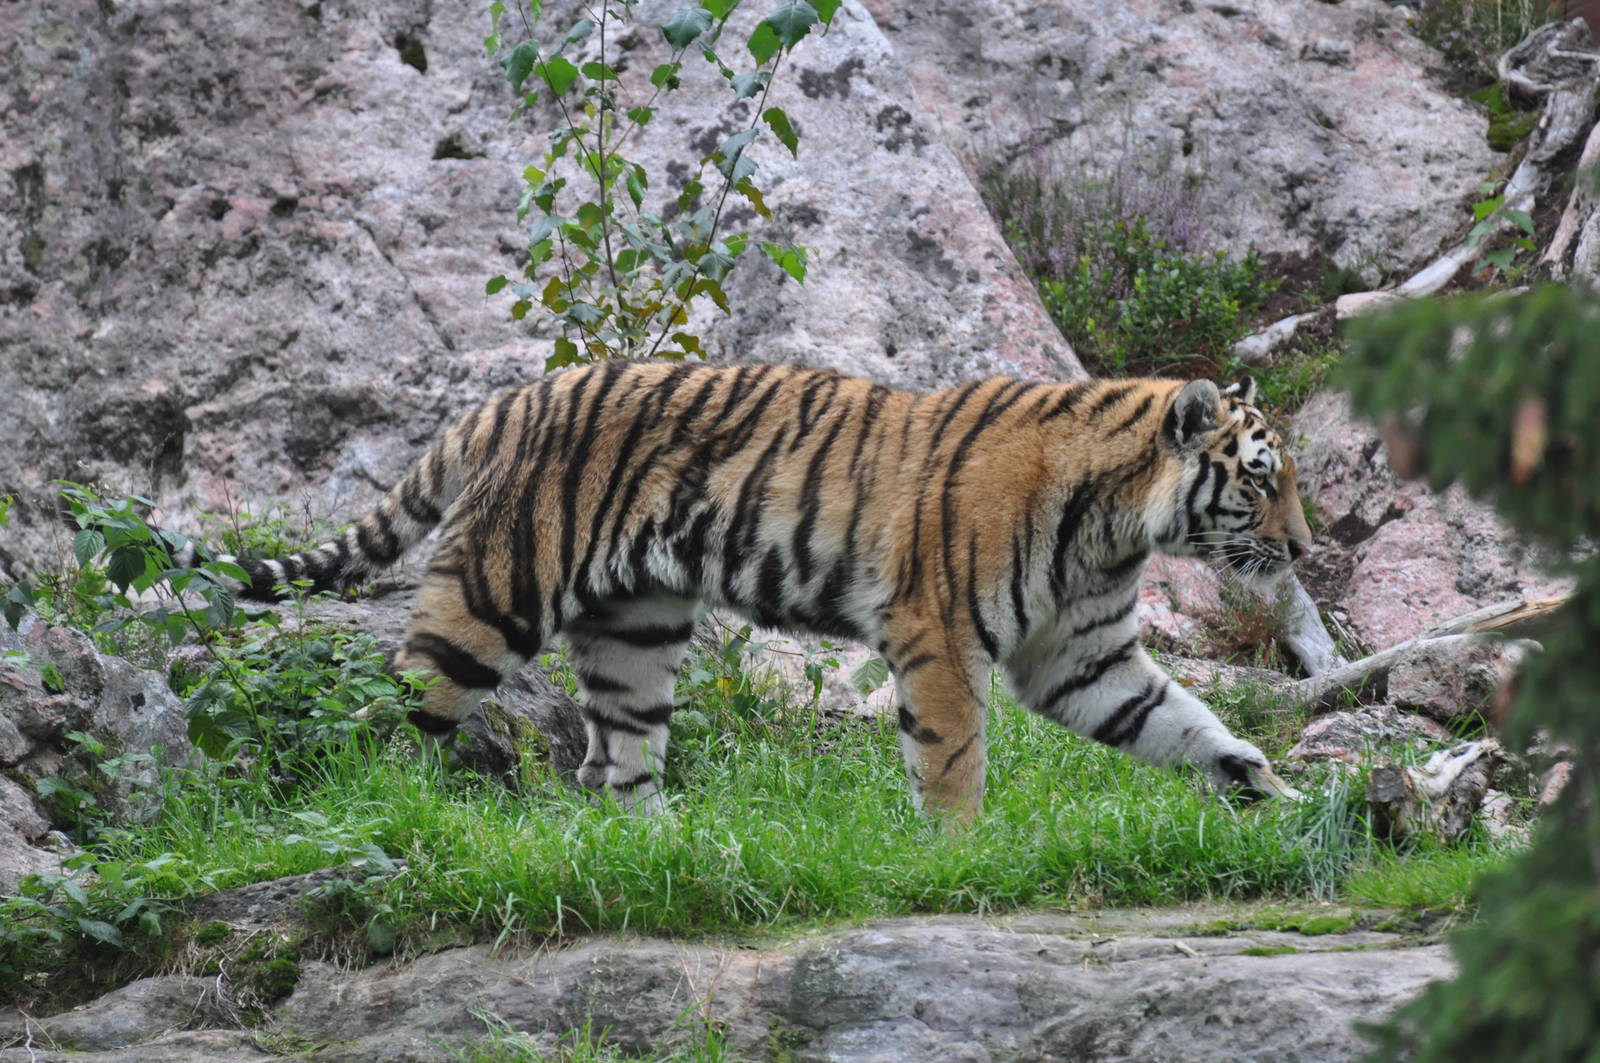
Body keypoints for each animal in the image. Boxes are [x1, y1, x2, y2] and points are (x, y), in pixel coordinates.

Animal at [178, 361, 1309, 821]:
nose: (1304, 547)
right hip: (493, 594)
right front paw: (961, 854)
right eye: (1261, 479)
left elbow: (1191, 725)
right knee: (395, 706)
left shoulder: (1083, 656)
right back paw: (389, 813)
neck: (1117, 526)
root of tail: (506, 401)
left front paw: (1286, 801)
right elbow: (954, 764)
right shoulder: (940, 636)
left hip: (635, 628)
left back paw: (670, 846)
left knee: (615, 763)